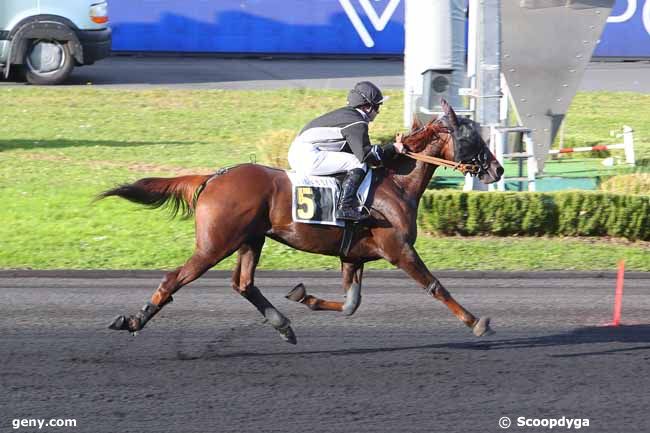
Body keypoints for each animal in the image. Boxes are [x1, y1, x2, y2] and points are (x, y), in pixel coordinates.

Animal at [100, 99, 502, 342]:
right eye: (472, 137)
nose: (497, 169)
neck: (394, 184)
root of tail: (214, 177)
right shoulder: (399, 250)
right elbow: (436, 286)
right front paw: (476, 322)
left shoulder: (353, 256)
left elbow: (351, 304)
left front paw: (303, 296)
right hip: (215, 244)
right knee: (175, 278)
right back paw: (133, 320)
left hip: (251, 240)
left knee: (243, 283)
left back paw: (283, 325)